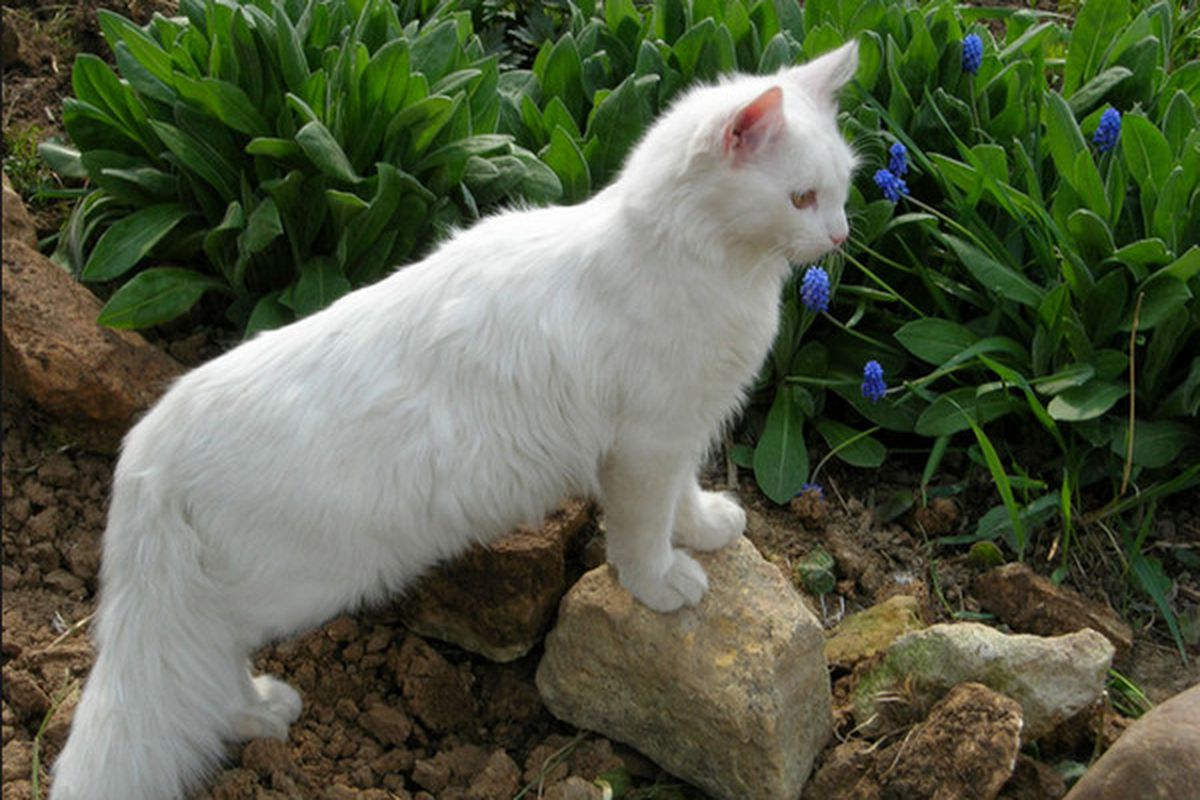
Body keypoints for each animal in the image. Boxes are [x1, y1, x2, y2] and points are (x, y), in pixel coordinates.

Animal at [51, 42, 859, 800]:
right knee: (203, 674)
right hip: (266, 595)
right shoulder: (645, 446)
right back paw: (259, 712)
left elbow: (683, 500)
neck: (708, 266)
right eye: (801, 198)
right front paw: (660, 581)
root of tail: (148, 442)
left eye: (844, 191)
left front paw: (706, 528)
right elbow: (640, 533)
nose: (841, 237)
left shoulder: (680, 432)